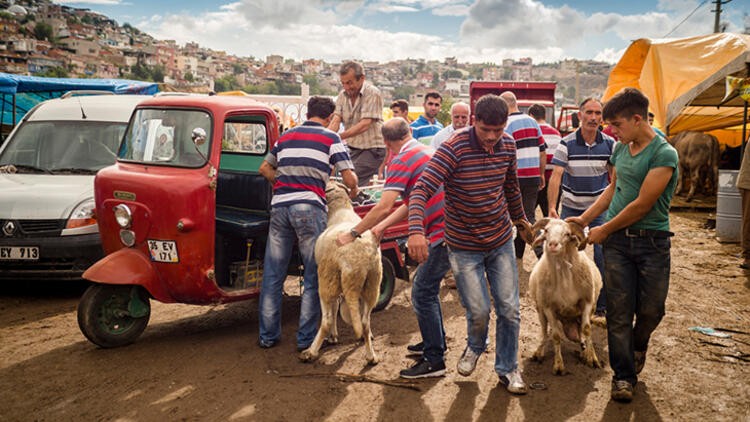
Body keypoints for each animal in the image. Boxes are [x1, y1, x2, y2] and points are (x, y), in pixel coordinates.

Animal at [298, 183, 382, 364]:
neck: (340, 209)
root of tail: (357, 261)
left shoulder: (331, 281)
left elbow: (334, 308)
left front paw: (332, 336)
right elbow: (339, 306)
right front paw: (335, 336)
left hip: (326, 281)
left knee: (327, 320)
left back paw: (310, 352)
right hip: (372, 284)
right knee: (365, 321)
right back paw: (371, 355)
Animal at [528, 219, 604, 374]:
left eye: (567, 234)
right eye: (546, 230)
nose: (552, 244)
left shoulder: (587, 302)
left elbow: (587, 329)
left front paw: (592, 358)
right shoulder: (548, 307)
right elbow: (556, 336)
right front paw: (558, 366)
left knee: (580, 331)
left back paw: (584, 350)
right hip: (540, 310)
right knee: (545, 332)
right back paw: (539, 352)